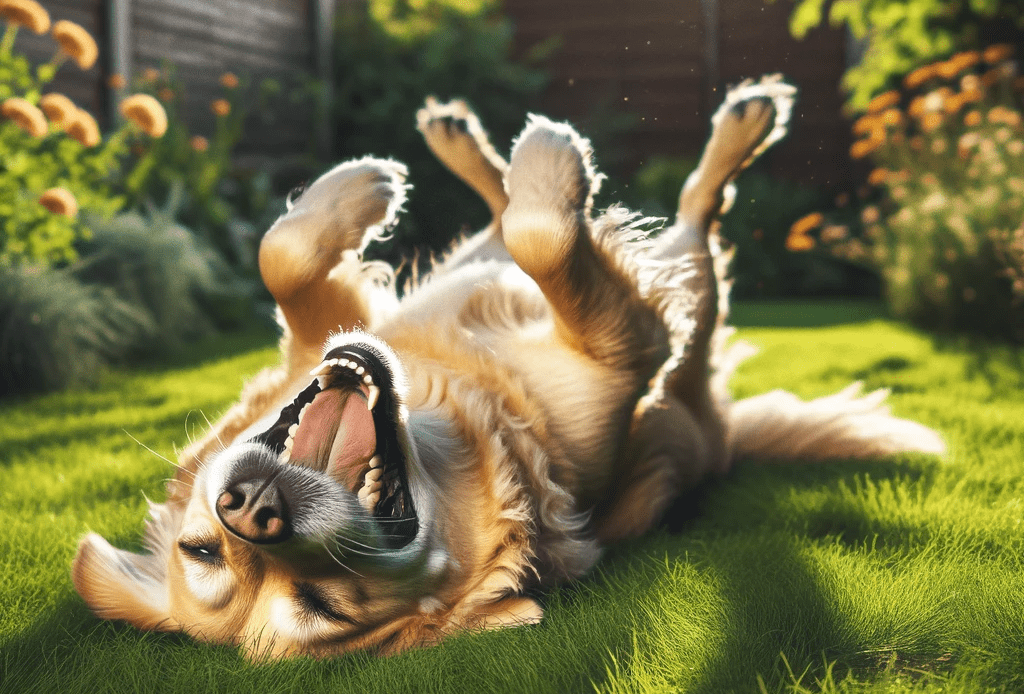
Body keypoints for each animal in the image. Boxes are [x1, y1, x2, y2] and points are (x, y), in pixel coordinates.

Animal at [70, 78, 942, 659]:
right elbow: (546, 238)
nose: (249, 510)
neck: (457, 404)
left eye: (199, 549)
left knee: (515, 220)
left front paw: (357, 190)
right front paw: (553, 168)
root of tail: (726, 437)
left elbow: (280, 254)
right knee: (692, 215)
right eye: (324, 607)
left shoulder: (332, 331)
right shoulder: (635, 348)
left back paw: (457, 142)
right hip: (690, 314)